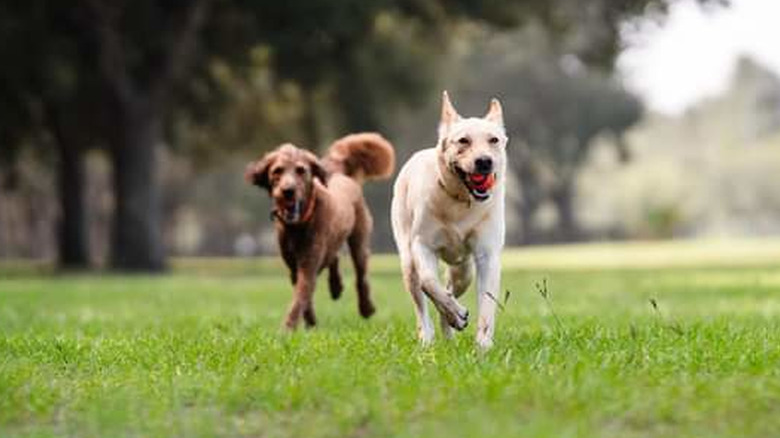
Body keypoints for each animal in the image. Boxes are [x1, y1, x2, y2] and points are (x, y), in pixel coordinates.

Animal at [247, 133, 396, 328]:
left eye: (301, 170)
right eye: (277, 171)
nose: (288, 191)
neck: (299, 224)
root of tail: (340, 173)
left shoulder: (309, 262)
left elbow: (301, 296)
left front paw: (288, 327)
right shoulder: (294, 266)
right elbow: (305, 296)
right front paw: (310, 322)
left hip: (359, 239)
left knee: (361, 276)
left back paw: (366, 308)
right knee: (334, 257)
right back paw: (336, 287)